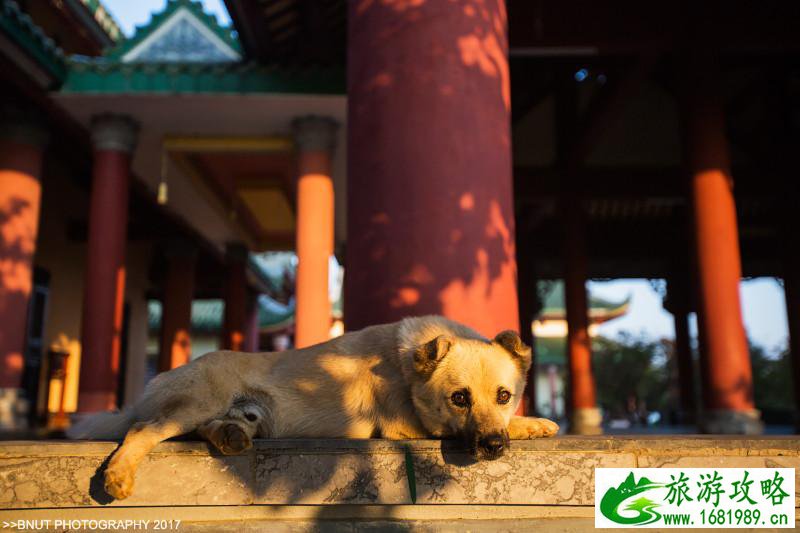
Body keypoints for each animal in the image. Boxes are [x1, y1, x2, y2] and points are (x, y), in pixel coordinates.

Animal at [67, 314, 556, 496]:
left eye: (504, 396)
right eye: (459, 399)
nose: (493, 446)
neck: (407, 366)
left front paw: (531, 422)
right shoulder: (407, 428)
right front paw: (529, 424)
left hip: (242, 413)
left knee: (214, 427)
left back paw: (230, 435)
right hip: (198, 400)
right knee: (143, 430)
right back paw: (118, 475)